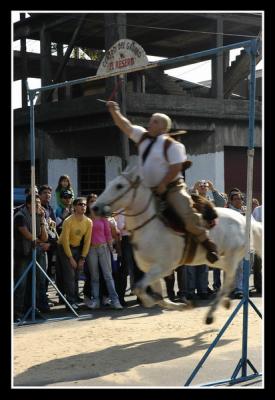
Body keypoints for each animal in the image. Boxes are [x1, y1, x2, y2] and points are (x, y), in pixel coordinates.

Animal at [93, 167, 264, 324]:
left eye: (119, 186)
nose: (95, 207)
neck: (150, 225)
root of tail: (245, 220)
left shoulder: (162, 267)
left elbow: (141, 290)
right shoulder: (151, 271)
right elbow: (156, 298)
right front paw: (184, 305)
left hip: (231, 257)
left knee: (228, 280)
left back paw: (211, 314)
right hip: (216, 259)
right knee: (228, 279)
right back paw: (225, 302)